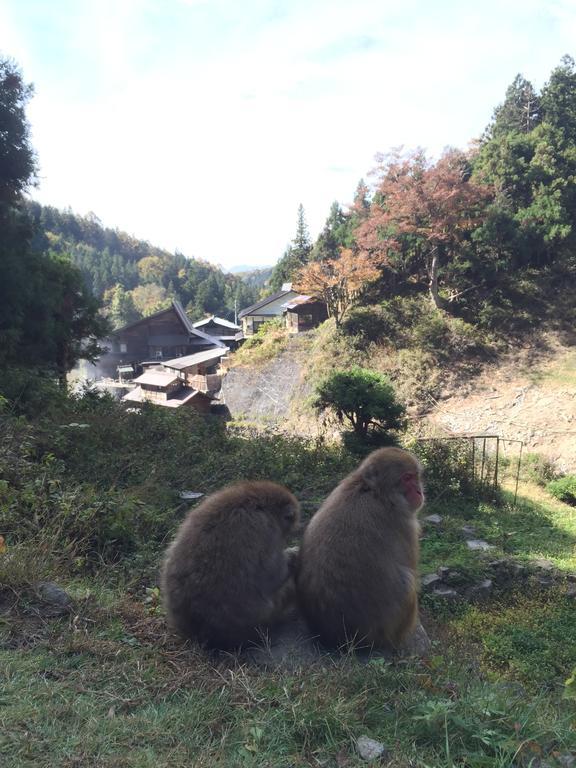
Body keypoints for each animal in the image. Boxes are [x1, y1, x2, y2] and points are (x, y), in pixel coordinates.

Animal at [160, 484, 300, 652]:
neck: (259, 503)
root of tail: (199, 632)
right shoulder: (267, 529)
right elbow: (272, 573)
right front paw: (292, 554)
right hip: (265, 616)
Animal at [296, 448, 424, 652]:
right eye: (407, 478)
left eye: (416, 476)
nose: (419, 491)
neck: (375, 492)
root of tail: (341, 639)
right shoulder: (405, 523)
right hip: (387, 631)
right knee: (407, 583)